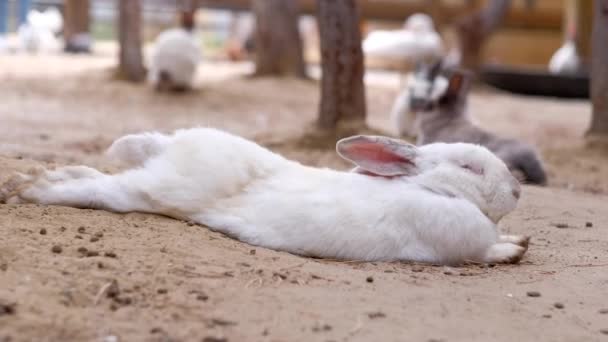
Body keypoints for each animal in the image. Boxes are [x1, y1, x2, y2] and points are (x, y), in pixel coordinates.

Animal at [0, 128, 528, 264]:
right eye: (470, 167)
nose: (518, 189)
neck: (430, 188)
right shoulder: (459, 245)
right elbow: (486, 251)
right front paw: (514, 249)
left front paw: (518, 240)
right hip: (154, 190)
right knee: (97, 188)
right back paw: (27, 188)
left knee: (91, 170)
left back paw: (37, 176)